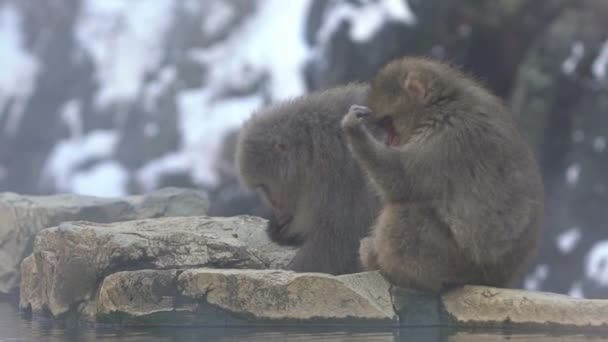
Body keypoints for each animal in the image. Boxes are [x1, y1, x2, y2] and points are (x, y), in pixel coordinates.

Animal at [342, 57, 548, 292]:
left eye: (388, 122)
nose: (390, 141)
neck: (443, 104)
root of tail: (498, 279)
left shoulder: (443, 140)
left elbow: (399, 179)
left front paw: (355, 131)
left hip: (453, 262)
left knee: (405, 212)